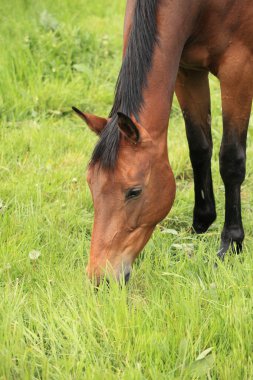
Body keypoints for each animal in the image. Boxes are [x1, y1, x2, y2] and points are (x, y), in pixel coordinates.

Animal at [72, 0, 252, 284]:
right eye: (91, 183)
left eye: (134, 191)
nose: (100, 279)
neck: (200, 7)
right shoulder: (187, 70)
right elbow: (199, 147)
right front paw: (202, 221)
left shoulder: (238, 70)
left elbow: (231, 160)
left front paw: (231, 243)